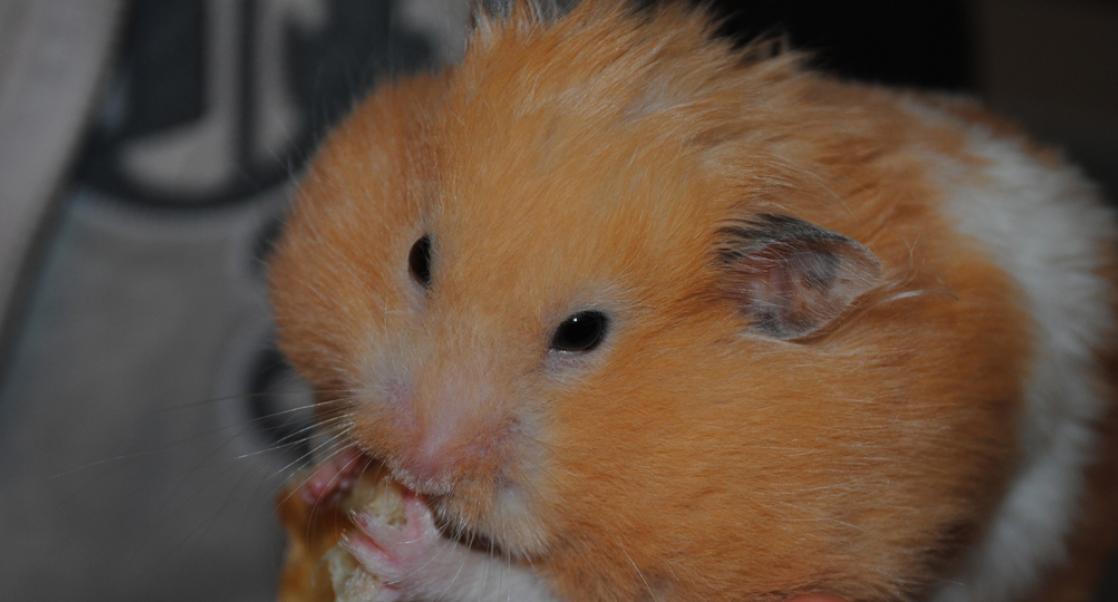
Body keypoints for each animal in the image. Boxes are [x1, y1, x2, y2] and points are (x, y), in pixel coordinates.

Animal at [267, 1, 1118, 600]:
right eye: (419, 258)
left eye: (583, 333)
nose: (419, 463)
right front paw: (334, 476)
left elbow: (517, 583)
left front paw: (398, 550)